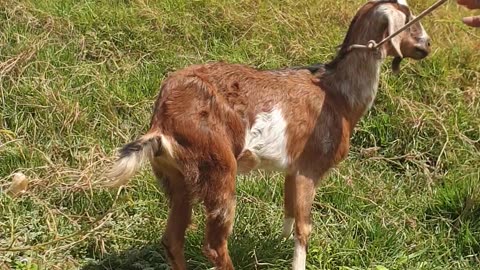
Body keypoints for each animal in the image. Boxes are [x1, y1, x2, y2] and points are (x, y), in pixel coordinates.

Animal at [107, 1, 434, 268]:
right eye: (410, 20)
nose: (428, 45)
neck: (337, 95)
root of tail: (161, 122)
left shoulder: (293, 168)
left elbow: (289, 211)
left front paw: (279, 242)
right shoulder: (309, 168)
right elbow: (304, 229)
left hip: (178, 178)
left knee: (173, 239)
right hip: (216, 167)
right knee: (214, 245)